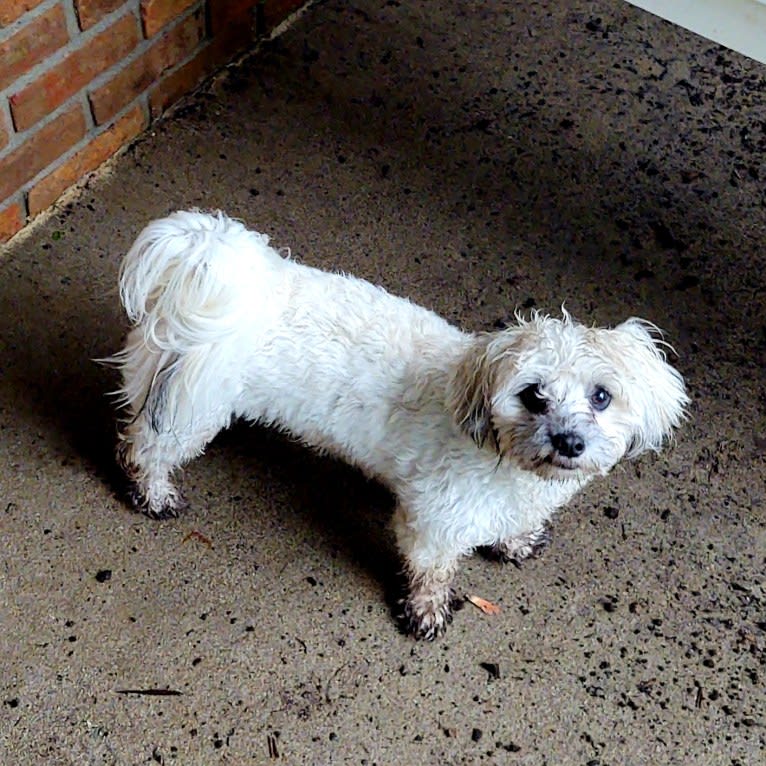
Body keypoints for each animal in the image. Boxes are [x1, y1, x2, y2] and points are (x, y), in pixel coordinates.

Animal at [108, 210, 688, 640]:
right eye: (533, 395)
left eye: (602, 395)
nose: (569, 441)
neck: (504, 462)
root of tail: (219, 269)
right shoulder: (434, 518)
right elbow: (432, 569)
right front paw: (426, 610)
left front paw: (515, 541)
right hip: (189, 409)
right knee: (144, 448)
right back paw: (153, 494)